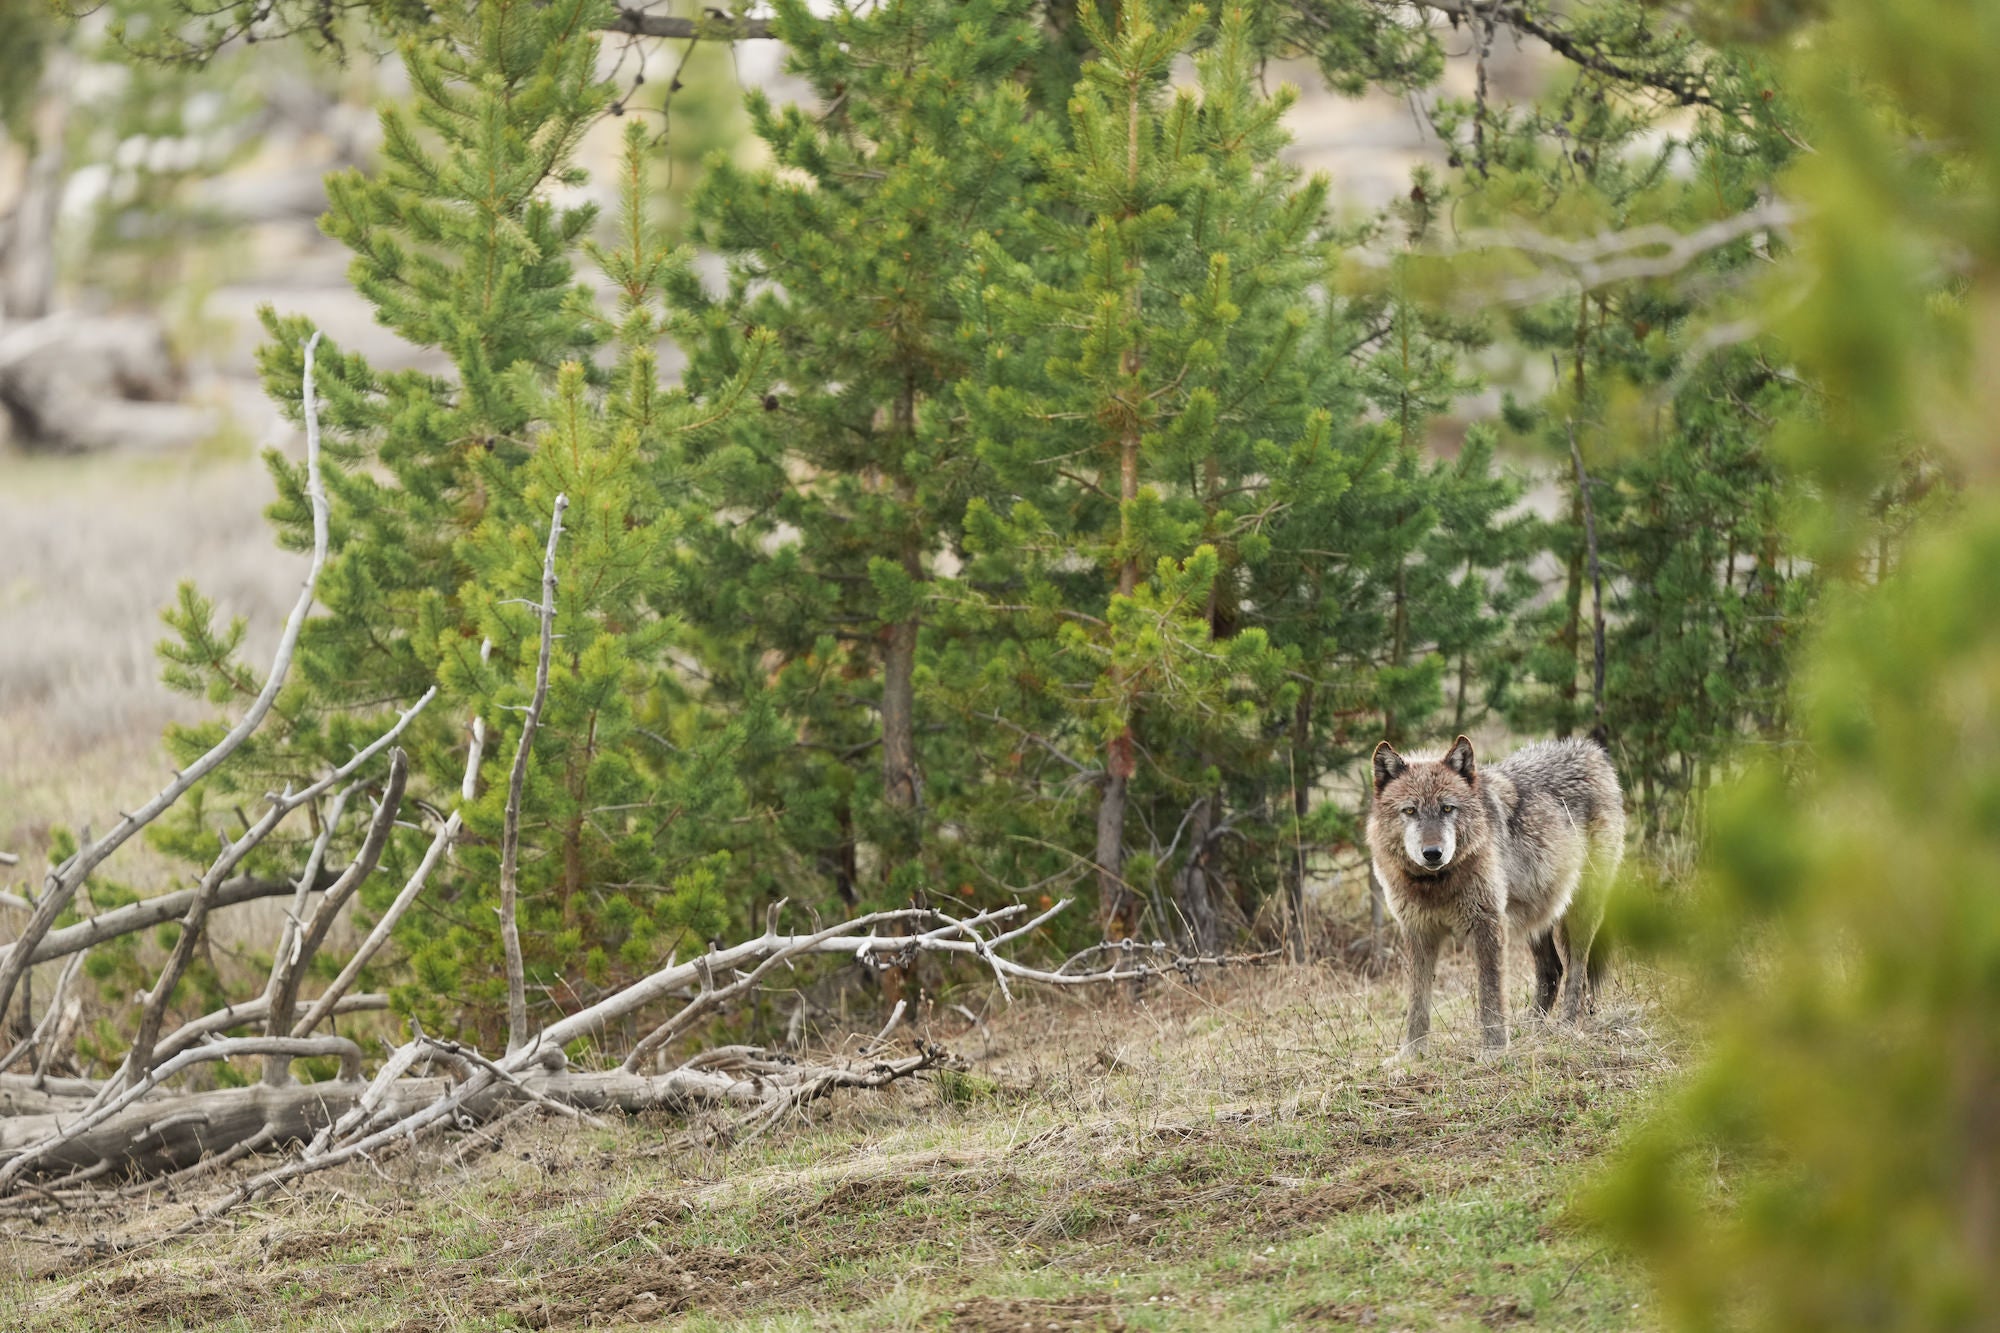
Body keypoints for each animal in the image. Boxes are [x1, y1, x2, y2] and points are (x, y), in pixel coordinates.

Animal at [1367, 735, 1625, 1056]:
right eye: (1410, 811)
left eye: (1447, 809)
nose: (1433, 853)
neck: (1436, 884)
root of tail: (1593, 751)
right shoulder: (1419, 933)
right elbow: (1417, 1002)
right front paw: (1411, 1055)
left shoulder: (1487, 926)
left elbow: (1490, 995)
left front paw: (1493, 1050)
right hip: (1535, 917)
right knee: (1552, 970)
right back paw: (1532, 1030)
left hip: (1578, 914)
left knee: (1577, 971)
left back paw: (1566, 1027)